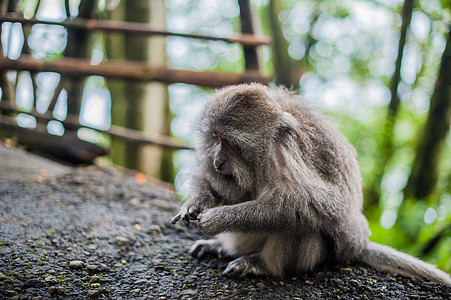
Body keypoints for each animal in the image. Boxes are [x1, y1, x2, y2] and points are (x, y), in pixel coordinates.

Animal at [171, 82, 450, 286]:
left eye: (230, 143)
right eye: (215, 137)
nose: (218, 160)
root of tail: (357, 246)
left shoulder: (284, 157)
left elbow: (307, 204)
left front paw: (218, 219)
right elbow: (207, 176)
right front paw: (194, 204)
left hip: (319, 254)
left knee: (302, 219)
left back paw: (261, 265)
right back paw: (222, 247)